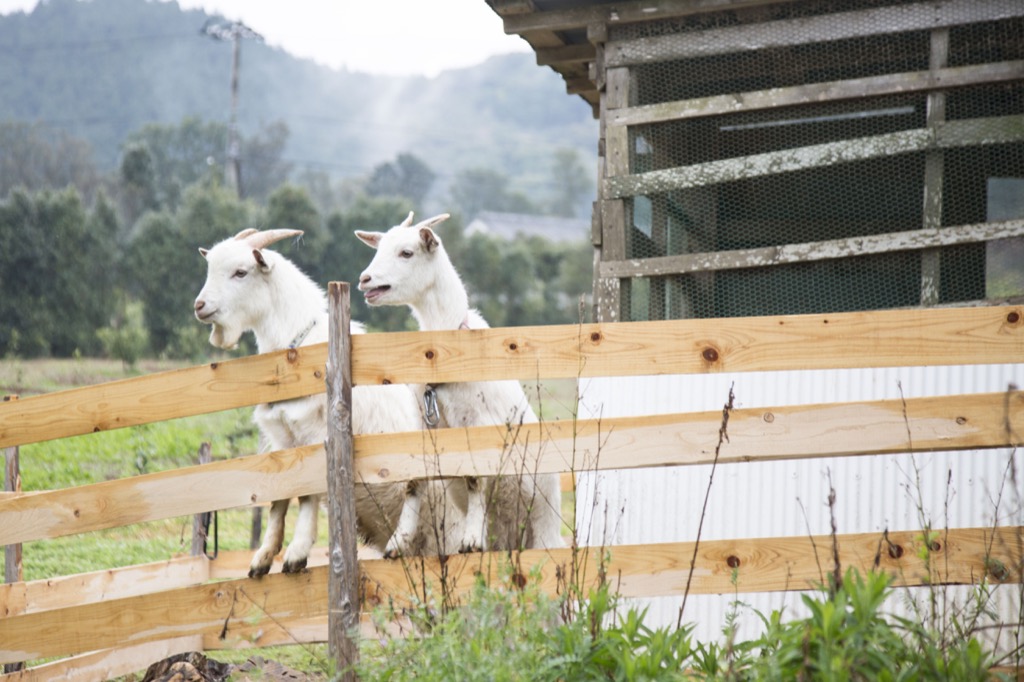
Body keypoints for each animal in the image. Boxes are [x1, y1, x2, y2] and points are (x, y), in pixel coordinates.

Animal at [192, 228, 464, 573]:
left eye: (240, 272)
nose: (200, 306)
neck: (297, 354)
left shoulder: (315, 435)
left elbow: (308, 494)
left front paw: (296, 554)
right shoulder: (281, 441)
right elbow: (280, 497)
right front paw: (263, 558)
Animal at [356, 212, 565, 552]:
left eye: (407, 253)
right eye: (379, 248)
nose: (365, 279)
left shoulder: (477, 423)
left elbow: (475, 477)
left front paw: (471, 539)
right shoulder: (424, 422)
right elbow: (415, 479)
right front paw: (398, 542)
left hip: (543, 522)